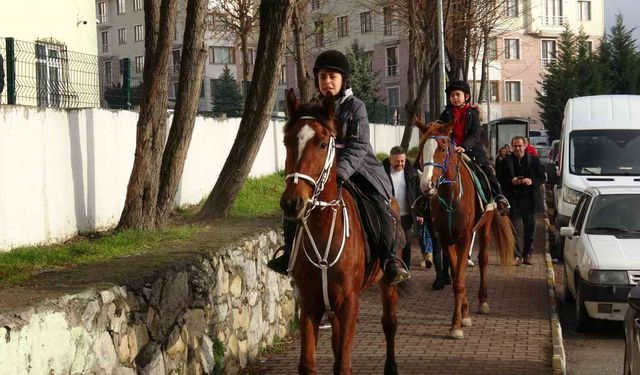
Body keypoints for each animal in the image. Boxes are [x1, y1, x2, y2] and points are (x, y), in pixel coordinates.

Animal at [282, 89, 400, 374]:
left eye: (323, 144)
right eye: (286, 141)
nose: (292, 203)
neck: (323, 227)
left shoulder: (349, 303)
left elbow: (344, 364)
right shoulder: (309, 304)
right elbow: (309, 364)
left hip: (387, 284)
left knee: (389, 323)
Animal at [416, 118, 516, 340]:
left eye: (442, 148)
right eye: (421, 148)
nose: (426, 186)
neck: (450, 194)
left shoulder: (464, 238)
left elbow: (460, 281)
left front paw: (457, 324)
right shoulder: (446, 239)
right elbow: (456, 278)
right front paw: (462, 315)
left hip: (485, 228)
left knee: (483, 261)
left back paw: (483, 302)